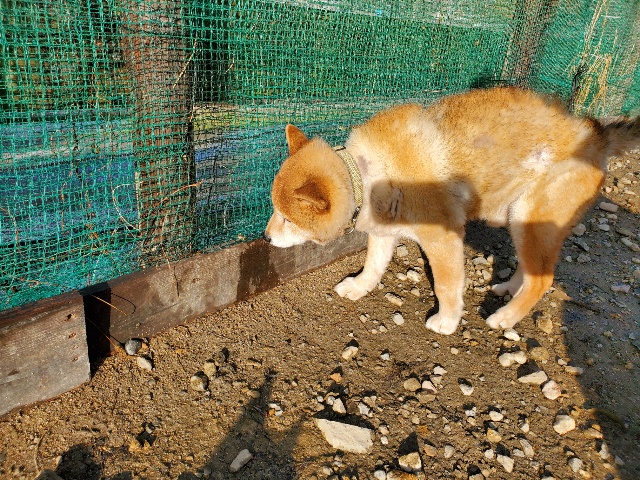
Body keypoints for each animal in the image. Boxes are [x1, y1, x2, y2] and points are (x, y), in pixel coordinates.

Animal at [264, 87, 639, 335]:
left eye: (286, 218)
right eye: (273, 211)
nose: (266, 238)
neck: (364, 174)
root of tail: (596, 135)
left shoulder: (442, 237)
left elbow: (446, 285)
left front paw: (446, 321)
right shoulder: (384, 230)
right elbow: (372, 266)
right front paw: (358, 287)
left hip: (530, 219)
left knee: (542, 280)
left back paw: (505, 317)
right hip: (520, 219)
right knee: (531, 269)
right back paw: (507, 289)